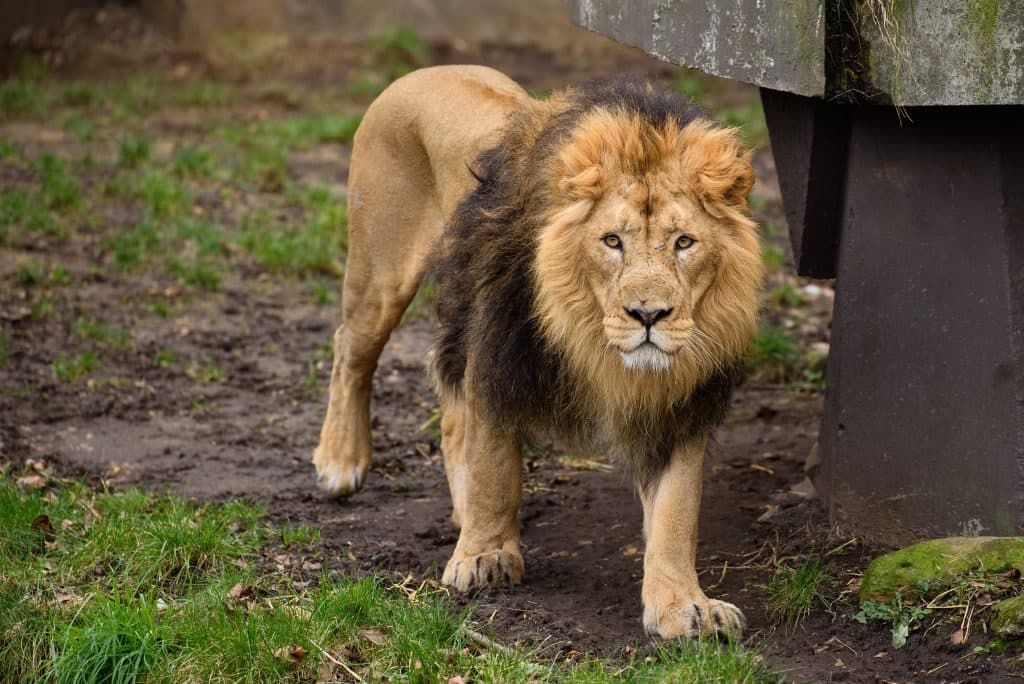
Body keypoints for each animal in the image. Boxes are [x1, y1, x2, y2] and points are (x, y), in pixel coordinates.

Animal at [314, 65, 762, 640]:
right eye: (612, 241)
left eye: (684, 242)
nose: (648, 316)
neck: (592, 341)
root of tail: (425, 70)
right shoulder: (497, 355)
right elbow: (494, 467)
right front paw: (483, 557)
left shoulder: (680, 404)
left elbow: (676, 511)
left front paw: (685, 606)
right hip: (380, 271)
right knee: (350, 350)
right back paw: (341, 461)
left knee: (451, 417)